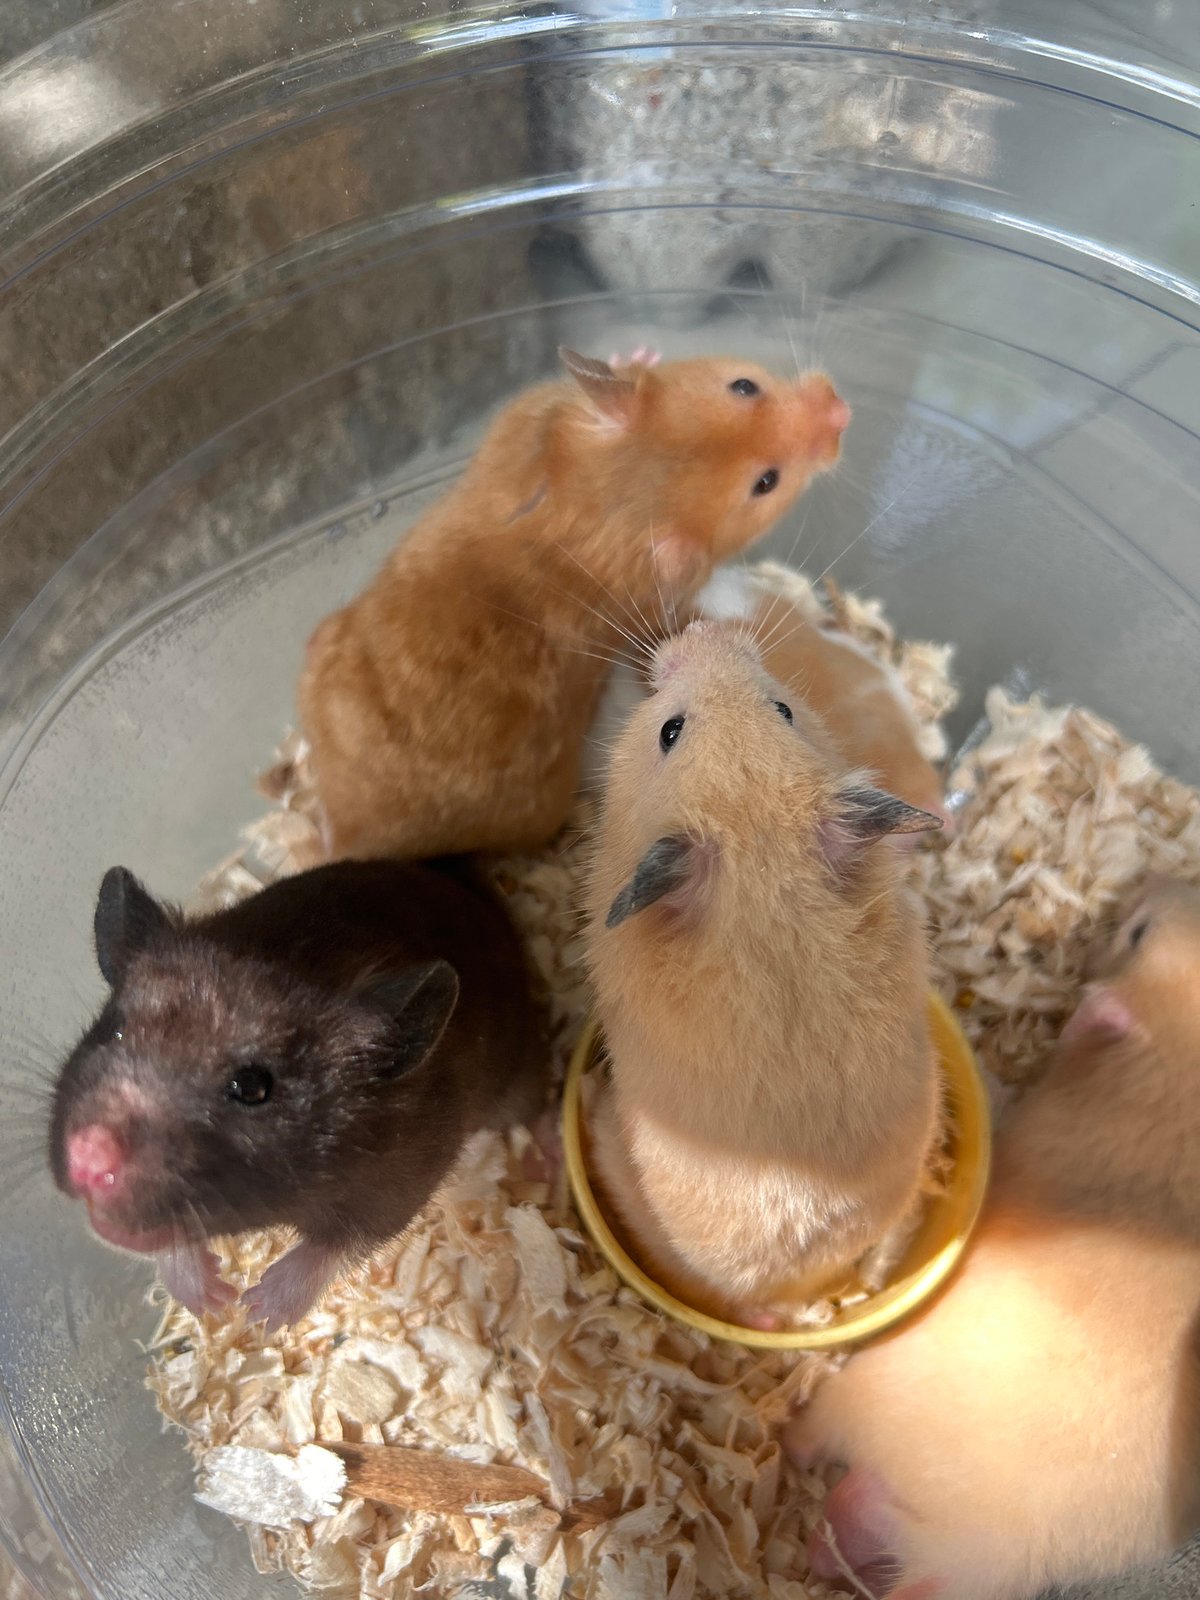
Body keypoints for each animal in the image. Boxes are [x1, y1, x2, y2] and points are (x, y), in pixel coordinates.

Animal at [49, 859, 548, 1330]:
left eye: (253, 1087)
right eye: (114, 1031)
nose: (87, 1160)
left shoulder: (403, 1181)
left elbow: (336, 1245)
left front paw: (256, 1313)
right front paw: (212, 1302)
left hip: (519, 1069)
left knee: (535, 1103)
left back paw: (544, 1167)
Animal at [298, 348, 850, 861]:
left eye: (745, 385)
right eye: (766, 482)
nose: (841, 411)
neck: (601, 510)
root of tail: (361, 840)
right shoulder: (521, 422)